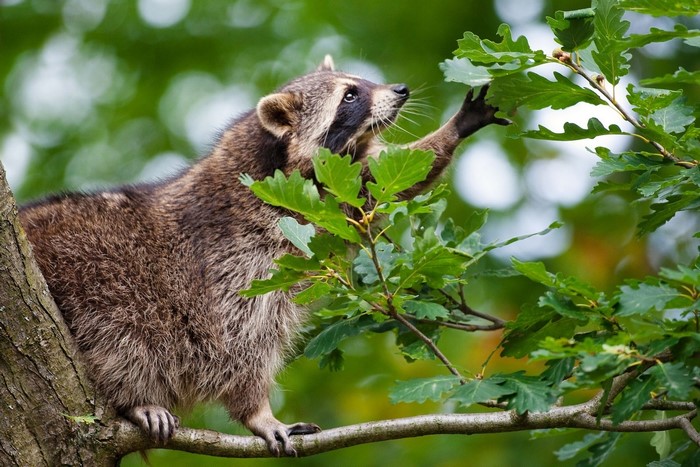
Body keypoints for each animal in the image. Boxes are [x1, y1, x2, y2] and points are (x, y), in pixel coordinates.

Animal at [19, 55, 507, 456]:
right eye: (350, 94)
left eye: (363, 81)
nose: (401, 90)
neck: (273, 159)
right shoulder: (238, 254)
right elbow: (238, 340)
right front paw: (258, 412)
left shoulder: (336, 196)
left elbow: (390, 178)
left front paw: (454, 127)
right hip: (94, 272)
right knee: (124, 334)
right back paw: (135, 399)